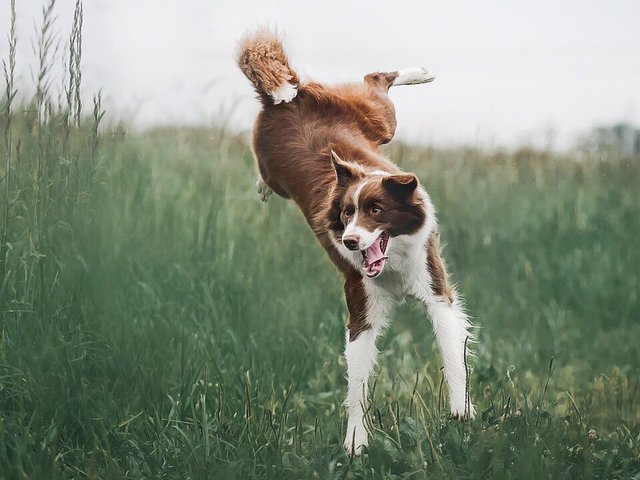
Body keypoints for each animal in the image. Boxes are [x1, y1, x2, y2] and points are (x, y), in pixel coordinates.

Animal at [236, 28, 476, 456]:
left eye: (376, 210)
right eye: (347, 213)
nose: (349, 241)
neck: (394, 265)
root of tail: (286, 98)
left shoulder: (435, 288)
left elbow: (452, 350)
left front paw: (461, 408)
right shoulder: (360, 308)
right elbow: (358, 383)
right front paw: (355, 444)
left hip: (378, 120)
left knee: (376, 80)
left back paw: (421, 72)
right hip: (291, 155)